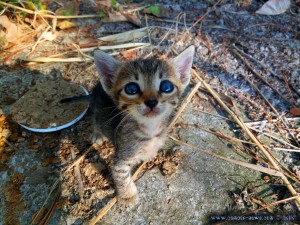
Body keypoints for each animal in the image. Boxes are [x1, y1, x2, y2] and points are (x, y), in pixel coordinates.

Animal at [91, 46, 195, 207]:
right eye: (131, 89)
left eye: (166, 87)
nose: (151, 101)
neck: (150, 130)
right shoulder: (122, 157)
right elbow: (121, 175)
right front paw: (127, 195)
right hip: (96, 110)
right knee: (95, 120)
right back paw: (97, 134)